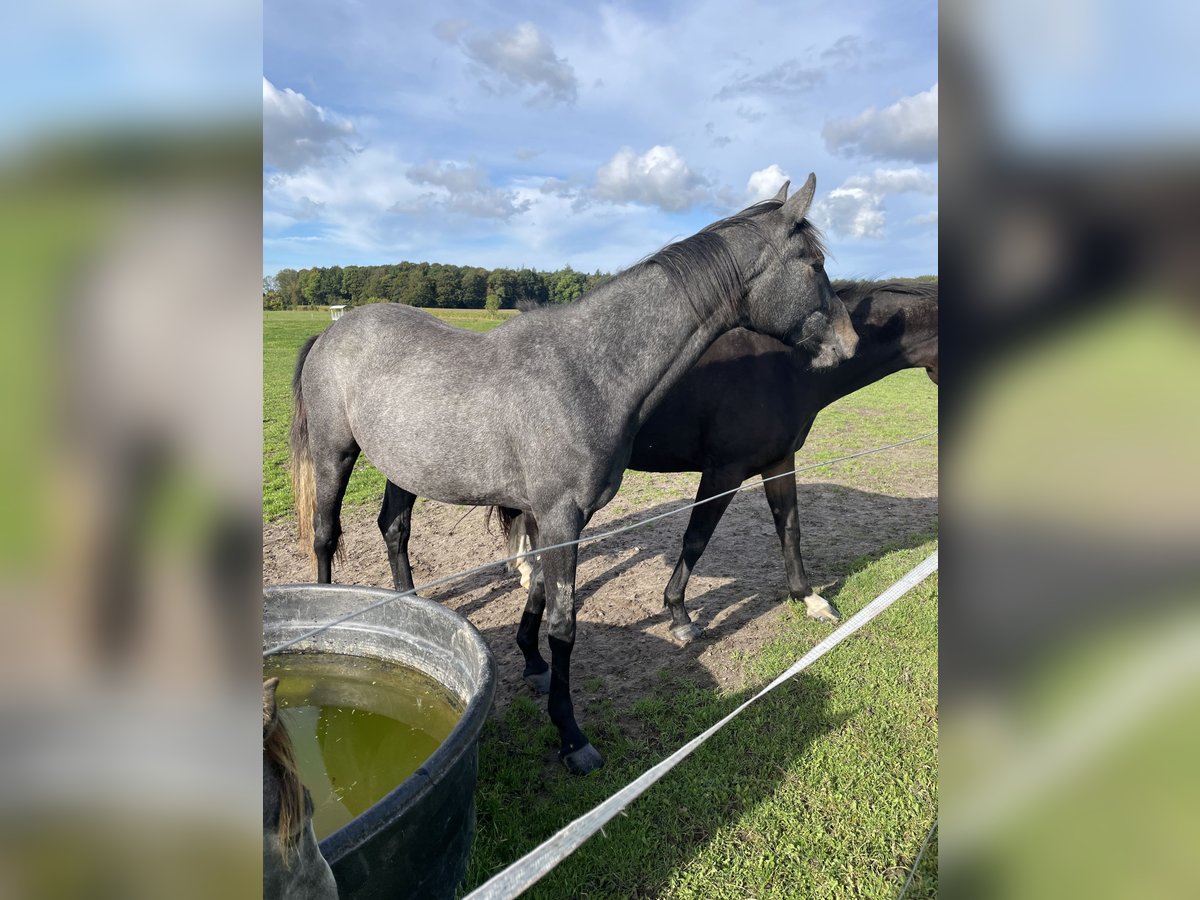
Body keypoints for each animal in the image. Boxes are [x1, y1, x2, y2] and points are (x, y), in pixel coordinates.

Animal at [289, 176, 854, 777]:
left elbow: (538, 590)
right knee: (325, 536)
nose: (849, 342)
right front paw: (571, 734)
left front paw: (534, 666)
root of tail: (333, 333)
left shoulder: (549, 517)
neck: (589, 370)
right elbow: (564, 621)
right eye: (814, 262)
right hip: (334, 455)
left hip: (405, 468)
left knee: (394, 530)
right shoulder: (562, 515)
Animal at [384, 280, 936, 643]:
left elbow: (791, 529)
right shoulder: (723, 471)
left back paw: (521, 571)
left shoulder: (780, 462)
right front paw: (679, 616)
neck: (786, 365)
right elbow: (696, 538)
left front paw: (810, 599)